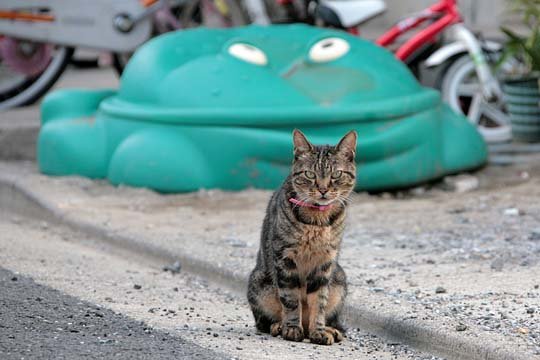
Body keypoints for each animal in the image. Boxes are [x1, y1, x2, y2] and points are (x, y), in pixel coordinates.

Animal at [247, 129, 356, 346]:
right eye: (310, 174)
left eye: (336, 174)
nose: (323, 189)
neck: (318, 221)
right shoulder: (285, 258)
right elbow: (290, 300)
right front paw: (291, 328)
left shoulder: (325, 262)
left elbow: (319, 301)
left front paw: (319, 331)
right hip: (259, 283)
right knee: (264, 322)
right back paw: (280, 326)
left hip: (339, 280)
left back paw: (329, 329)